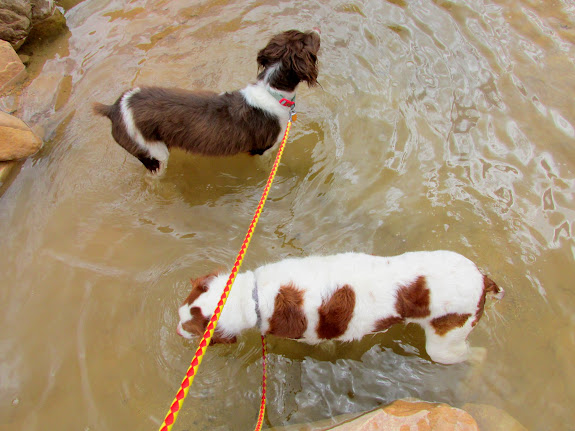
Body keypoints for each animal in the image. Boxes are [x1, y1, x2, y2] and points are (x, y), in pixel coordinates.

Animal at [92, 29, 322, 176]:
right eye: (310, 39)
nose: (316, 30)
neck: (271, 91)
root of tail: (114, 109)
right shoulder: (263, 149)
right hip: (152, 152)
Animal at [177, 251, 504, 366]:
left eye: (190, 327)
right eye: (182, 311)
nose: (176, 330)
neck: (254, 296)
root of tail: (483, 279)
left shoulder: (311, 337)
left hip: (445, 344)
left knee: (472, 354)